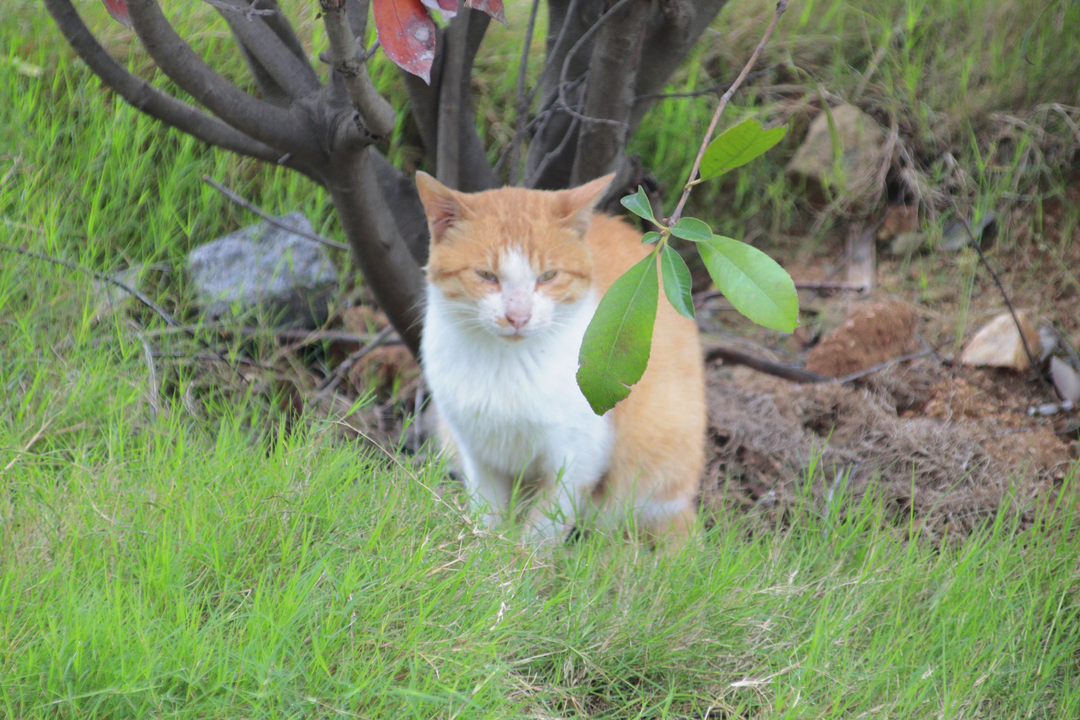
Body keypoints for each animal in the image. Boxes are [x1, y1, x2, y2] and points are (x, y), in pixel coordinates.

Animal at [414, 172, 708, 546]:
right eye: (486, 276)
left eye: (548, 276)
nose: (518, 317)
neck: (506, 364)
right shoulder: (477, 455)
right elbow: (488, 515)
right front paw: (485, 553)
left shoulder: (577, 460)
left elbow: (541, 530)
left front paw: (518, 560)